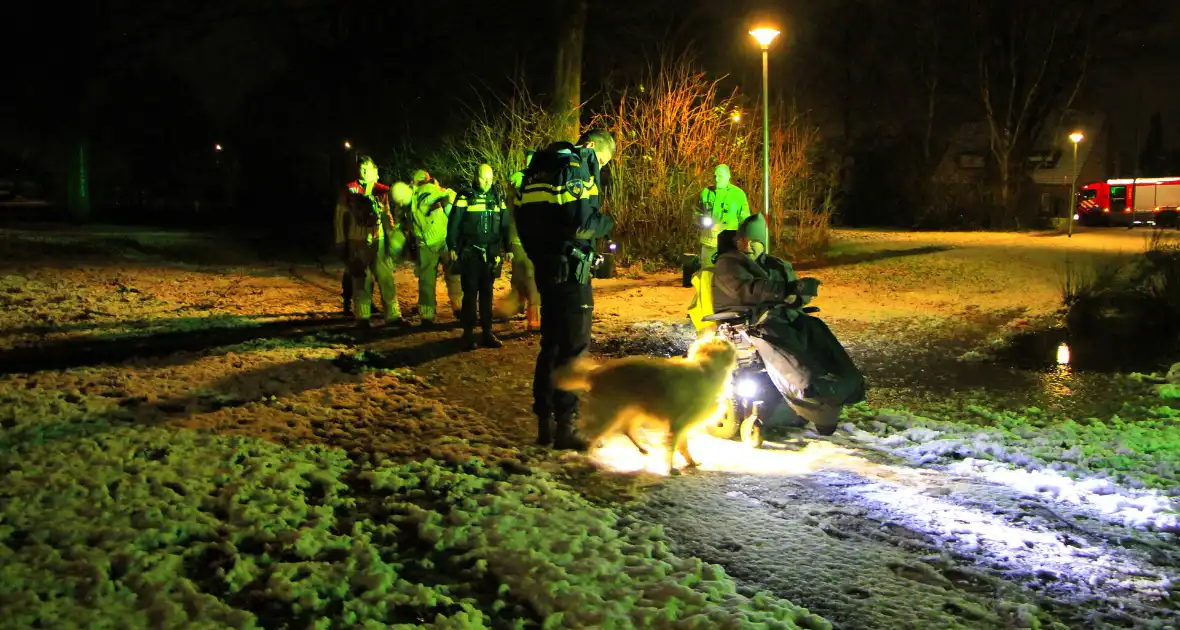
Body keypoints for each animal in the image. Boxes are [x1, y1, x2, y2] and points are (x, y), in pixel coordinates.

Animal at [554, 337, 736, 471]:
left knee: (626, 429)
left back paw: (642, 448)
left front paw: (690, 462)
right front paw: (670, 468)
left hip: (635, 410)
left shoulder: (682, 424)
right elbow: (673, 446)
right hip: (608, 414)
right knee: (590, 435)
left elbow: (683, 446)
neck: (707, 367)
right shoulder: (678, 423)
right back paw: (587, 457)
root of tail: (595, 372)